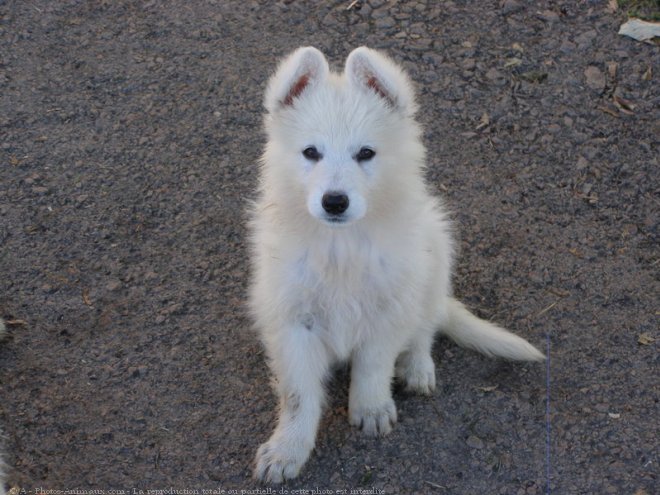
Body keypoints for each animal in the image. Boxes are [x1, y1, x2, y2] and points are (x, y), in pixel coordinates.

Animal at [248, 47, 540, 484]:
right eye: (311, 153)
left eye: (366, 153)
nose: (335, 202)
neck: (342, 246)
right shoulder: (292, 320)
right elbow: (298, 394)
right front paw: (287, 449)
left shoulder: (388, 309)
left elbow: (373, 365)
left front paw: (370, 409)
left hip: (434, 256)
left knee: (425, 327)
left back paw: (417, 367)